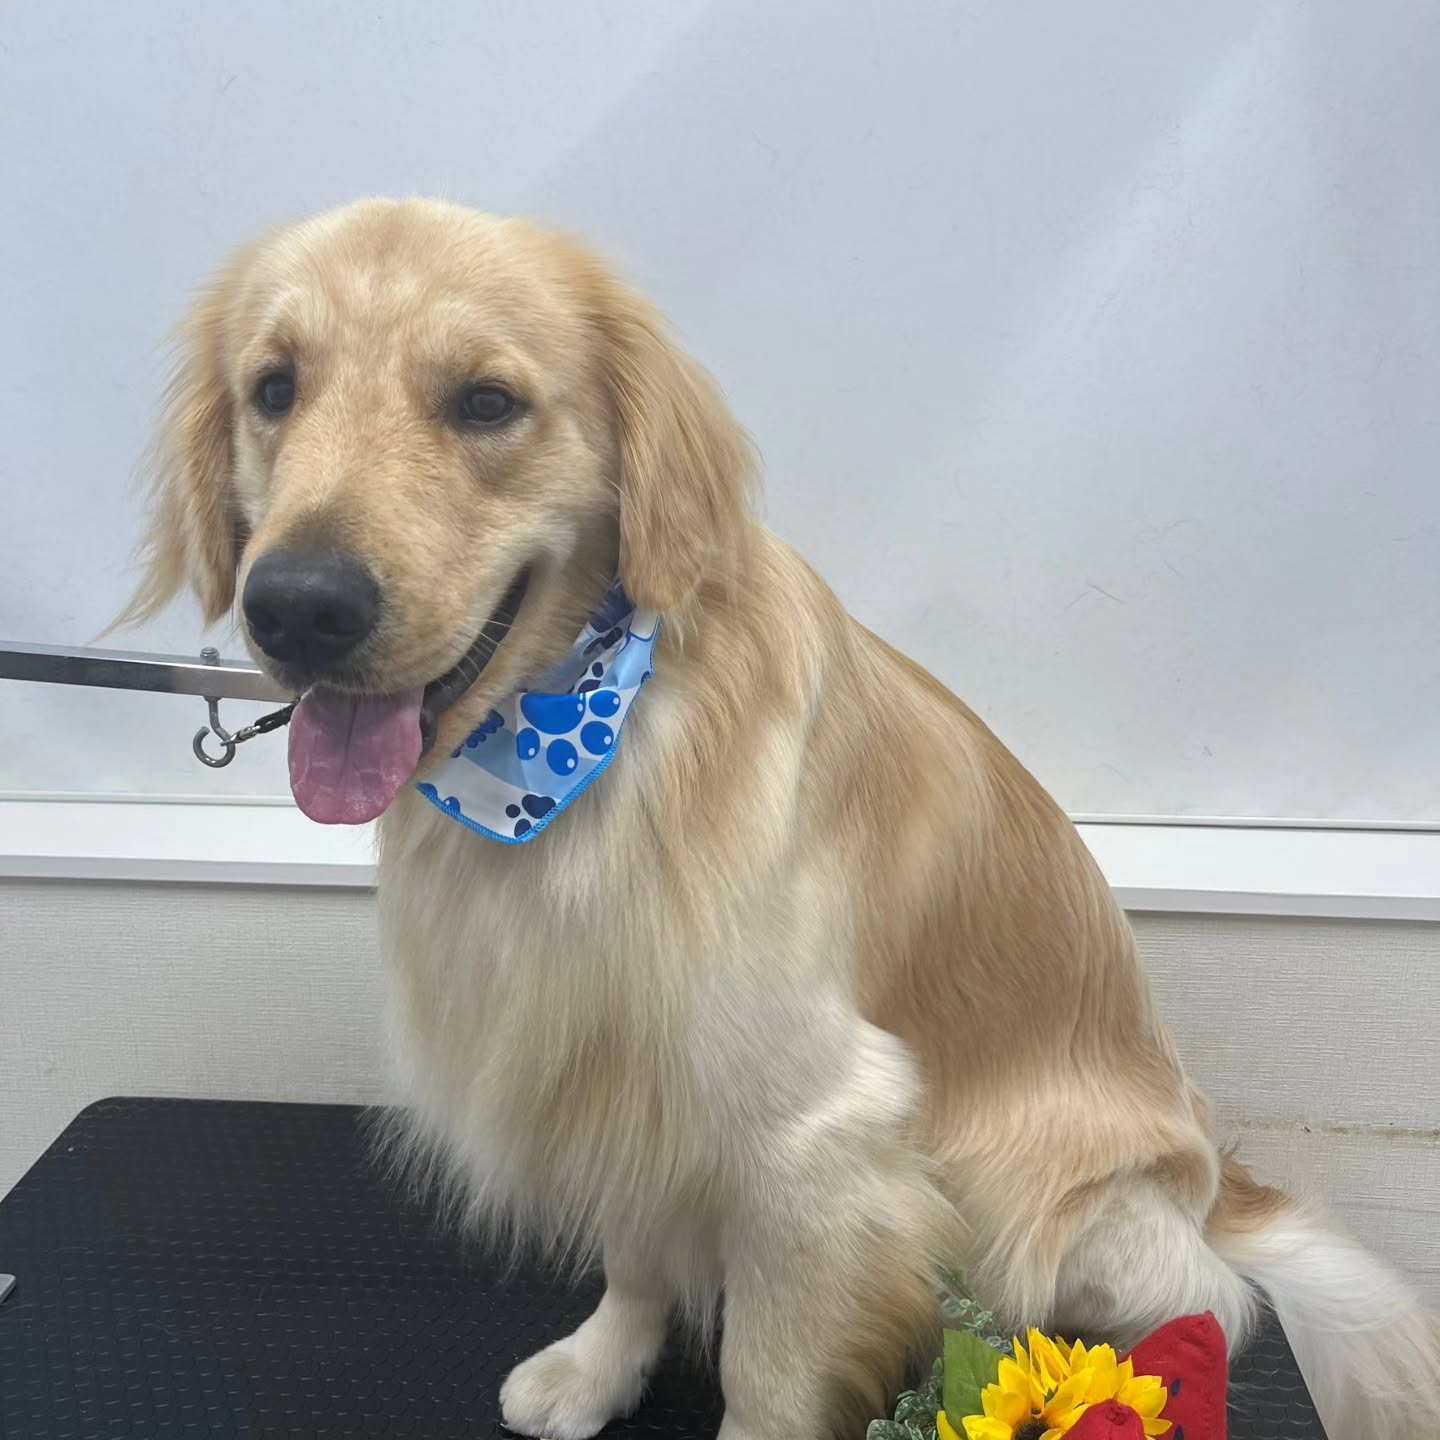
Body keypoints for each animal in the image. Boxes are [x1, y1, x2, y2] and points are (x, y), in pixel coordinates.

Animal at [124, 198, 1438, 1438]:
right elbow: (637, 1257)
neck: (569, 761)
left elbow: (767, 1368)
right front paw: (598, 1368)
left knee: (1195, 1309)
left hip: (1055, 1212)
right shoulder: (622, 1067)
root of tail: (1220, 1181)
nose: (297, 607)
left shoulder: (815, 1132)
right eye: (274, 389)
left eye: (487, 402)